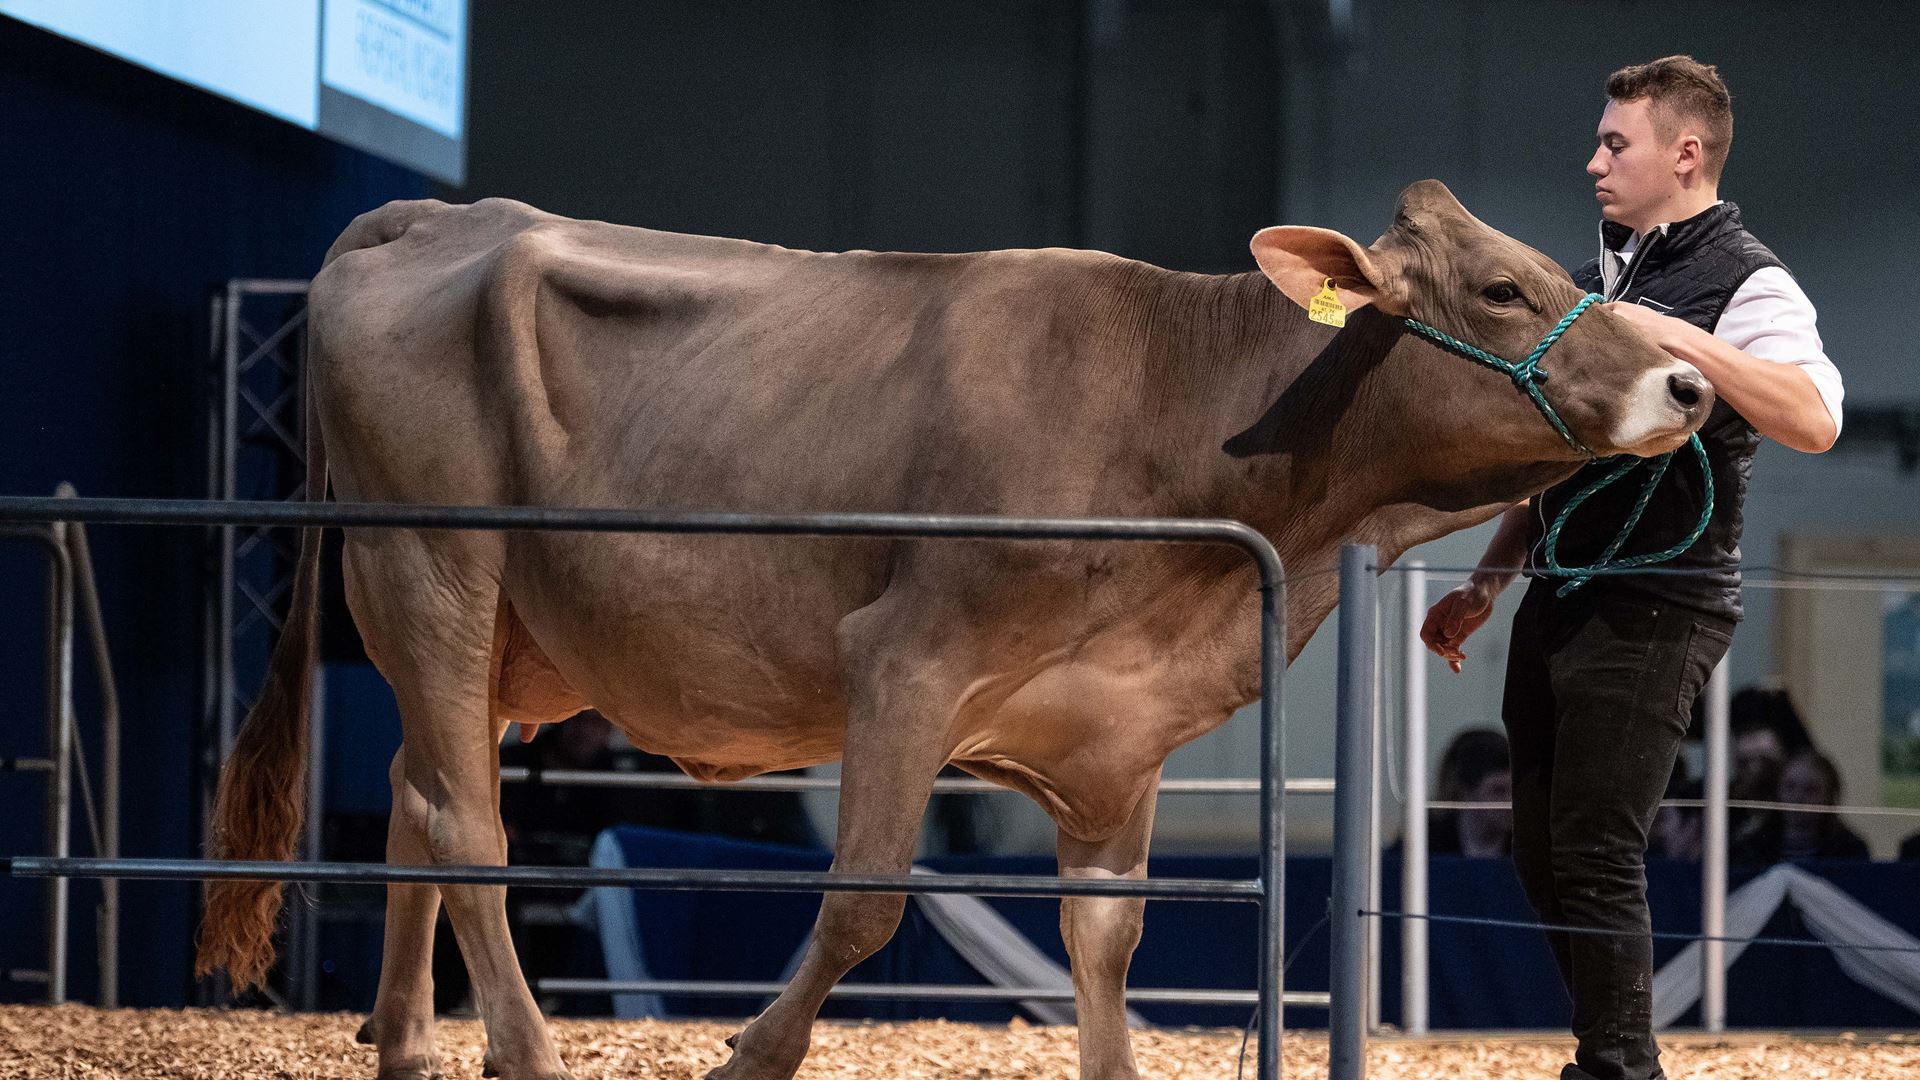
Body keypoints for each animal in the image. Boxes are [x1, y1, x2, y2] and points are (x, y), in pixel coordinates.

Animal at [194, 180, 1712, 1068]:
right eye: (1505, 289)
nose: (1692, 387)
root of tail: (428, 211)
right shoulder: (908, 659)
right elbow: (865, 903)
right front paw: (750, 1056)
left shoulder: (1117, 728)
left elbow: (1108, 945)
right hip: (431, 566)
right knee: (469, 821)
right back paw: (517, 1048)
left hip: (507, 635)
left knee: (414, 792)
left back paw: (402, 1040)